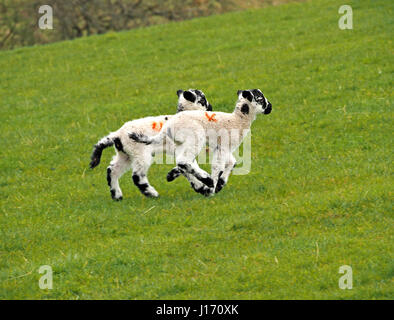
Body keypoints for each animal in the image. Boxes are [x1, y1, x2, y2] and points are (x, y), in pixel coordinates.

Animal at [129, 89, 270, 196]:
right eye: (261, 99)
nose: (270, 107)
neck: (238, 120)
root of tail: (167, 126)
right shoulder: (223, 146)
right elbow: (218, 166)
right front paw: (212, 188)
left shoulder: (220, 147)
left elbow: (231, 163)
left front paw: (219, 184)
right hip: (195, 138)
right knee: (183, 161)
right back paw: (207, 181)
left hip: (182, 144)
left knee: (182, 162)